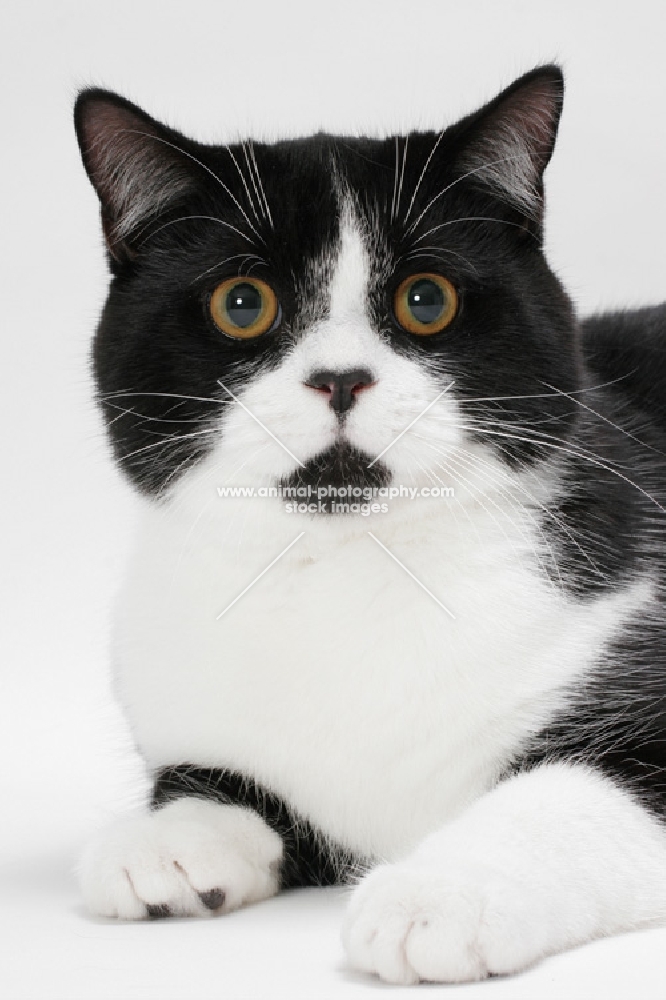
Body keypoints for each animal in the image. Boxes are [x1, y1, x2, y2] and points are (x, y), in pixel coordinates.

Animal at [74, 68, 666, 984]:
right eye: (241, 303)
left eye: (427, 299)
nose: (341, 378)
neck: (353, 563)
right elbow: (220, 781)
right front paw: (167, 842)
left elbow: (568, 793)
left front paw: (440, 896)